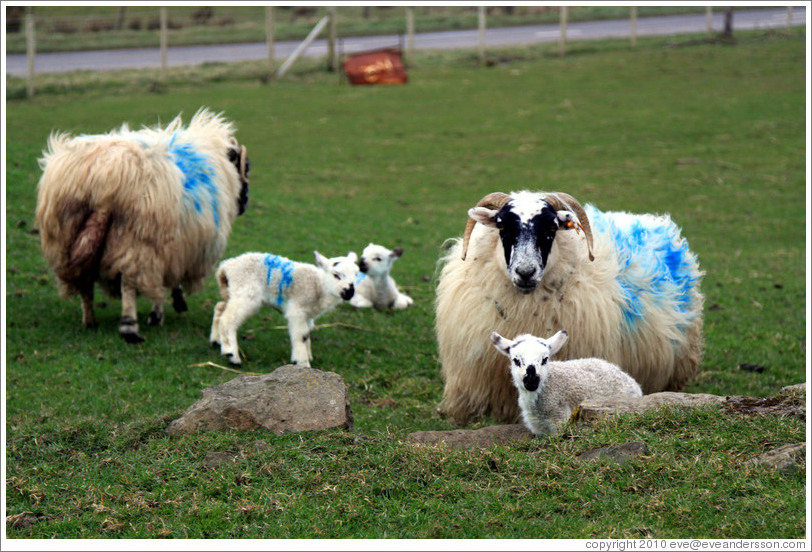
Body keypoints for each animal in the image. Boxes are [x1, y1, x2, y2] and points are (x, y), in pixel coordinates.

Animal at [35, 108, 249, 342]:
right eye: (246, 166)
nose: (245, 202)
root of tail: (103, 180)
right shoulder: (172, 244)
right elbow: (165, 282)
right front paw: (163, 310)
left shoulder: (176, 245)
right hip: (138, 239)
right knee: (129, 282)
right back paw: (130, 327)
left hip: (65, 234)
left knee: (85, 283)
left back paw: (90, 320)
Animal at [211, 252, 360, 368]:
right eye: (336, 275)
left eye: (356, 274)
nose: (350, 292)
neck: (319, 286)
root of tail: (226, 267)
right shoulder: (297, 310)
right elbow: (301, 335)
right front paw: (302, 362)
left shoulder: (308, 315)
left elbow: (307, 333)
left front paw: (307, 355)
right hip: (247, 293)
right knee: (228, 319)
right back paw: (232, 355)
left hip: (231, 291)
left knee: (220, 307)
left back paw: (216, 341)